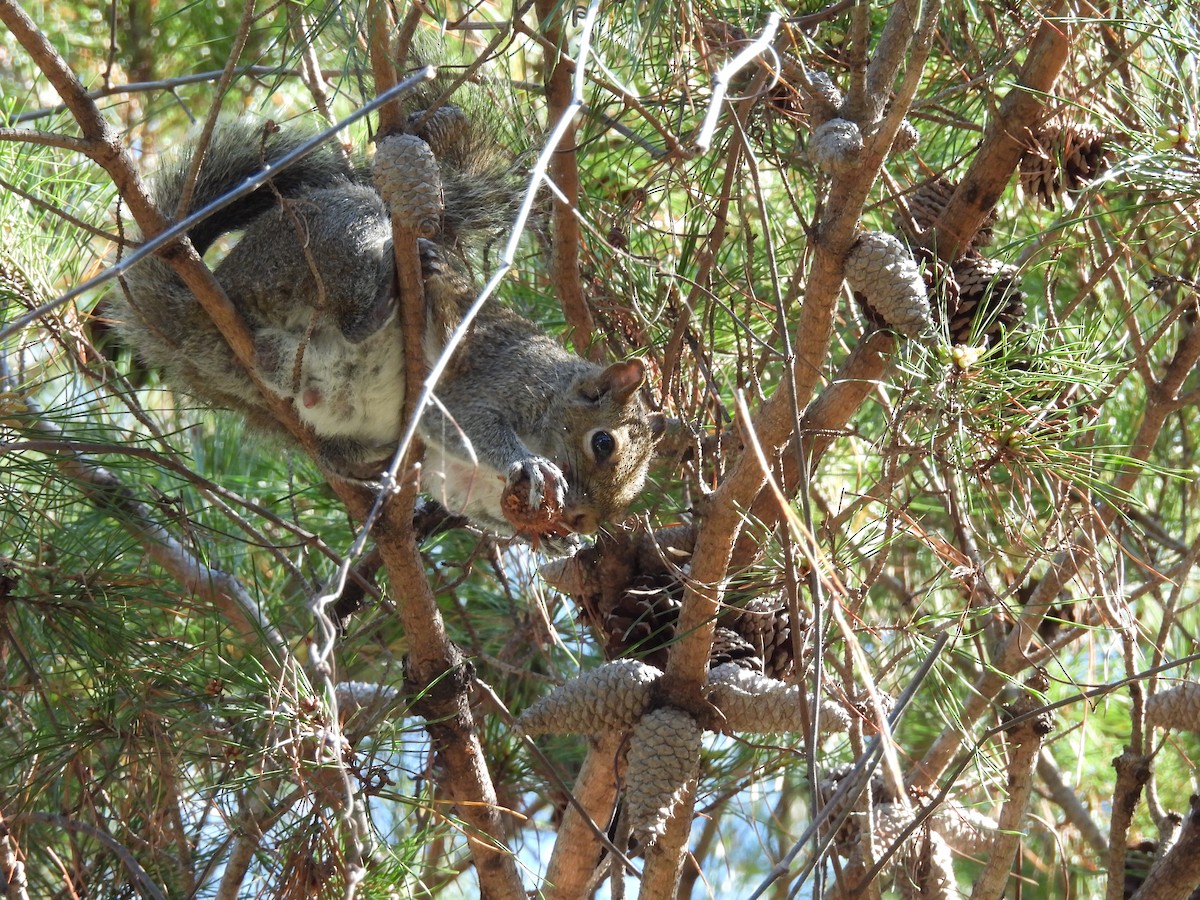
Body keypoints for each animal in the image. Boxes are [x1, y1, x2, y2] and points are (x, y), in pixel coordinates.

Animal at [109, 114, 665, 537]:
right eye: (603, 444)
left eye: (635, 489)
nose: (585, 521)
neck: (553, 388)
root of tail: (199, 312)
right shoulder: (495, 382)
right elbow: (469, 423)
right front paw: (526, 464)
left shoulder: (462, 482)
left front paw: (549, 537)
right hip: (338, 238)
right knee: (351, 312)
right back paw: (392, 295)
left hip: (272, 402)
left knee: (327, 444)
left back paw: (373, 465)